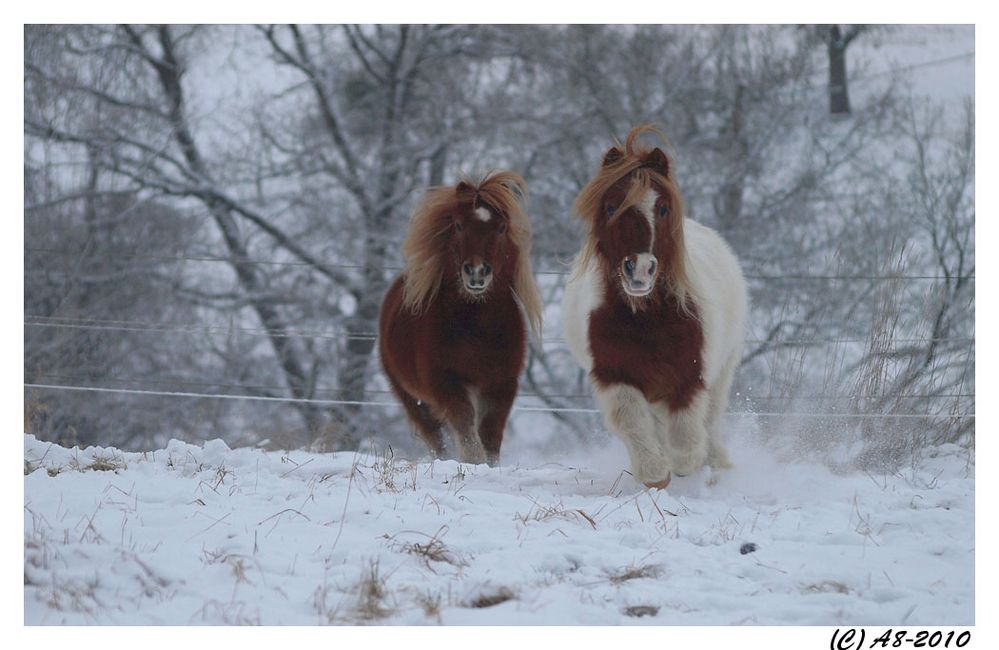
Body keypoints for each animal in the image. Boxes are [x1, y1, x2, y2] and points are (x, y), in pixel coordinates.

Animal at [378, 170, 544, 464]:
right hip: (411, 398)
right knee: (435, 437)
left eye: (502, 227)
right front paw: (472, 464)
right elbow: (467, 431)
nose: (476, 272)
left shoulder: (501, 384)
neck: (477, 326)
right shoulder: (445, 383)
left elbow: (490, 434)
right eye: (457, 225)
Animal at [564, 125, 752, 486]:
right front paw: (654, 474)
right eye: (611, 207)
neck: (648, 319)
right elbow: (635, 426)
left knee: (710, 422)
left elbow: (686, 443)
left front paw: (689, 470)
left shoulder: (689, 379)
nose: (639, 269)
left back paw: (716, 465)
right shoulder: (615, 377)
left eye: (662, 208)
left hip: (722, 372)